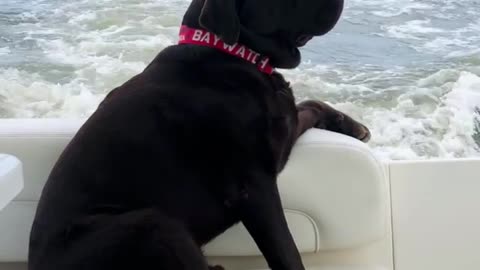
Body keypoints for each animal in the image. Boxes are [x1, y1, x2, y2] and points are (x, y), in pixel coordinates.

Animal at [28, 0, 370, 270]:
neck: (233, 51)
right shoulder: (253, 186)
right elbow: (287, 253)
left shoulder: (280, 131)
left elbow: (309, 106)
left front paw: (352, 125)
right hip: (153, 226)